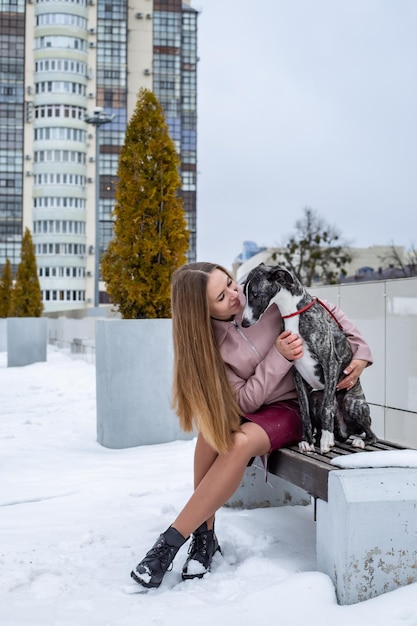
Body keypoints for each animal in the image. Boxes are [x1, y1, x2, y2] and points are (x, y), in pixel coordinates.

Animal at [239, 264, 376, 454]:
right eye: (245, 293)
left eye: (255, 294)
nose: (244, 323)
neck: (293, 313)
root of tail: (343, 432)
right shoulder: (296, 373)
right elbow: (304, 412)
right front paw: (307, 441)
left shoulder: (330, 362)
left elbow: (327, 407)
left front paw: (326, 440)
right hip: (314, 399)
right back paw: (319, 438)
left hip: (352, 403)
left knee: (371, 434)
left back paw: (357, 441)